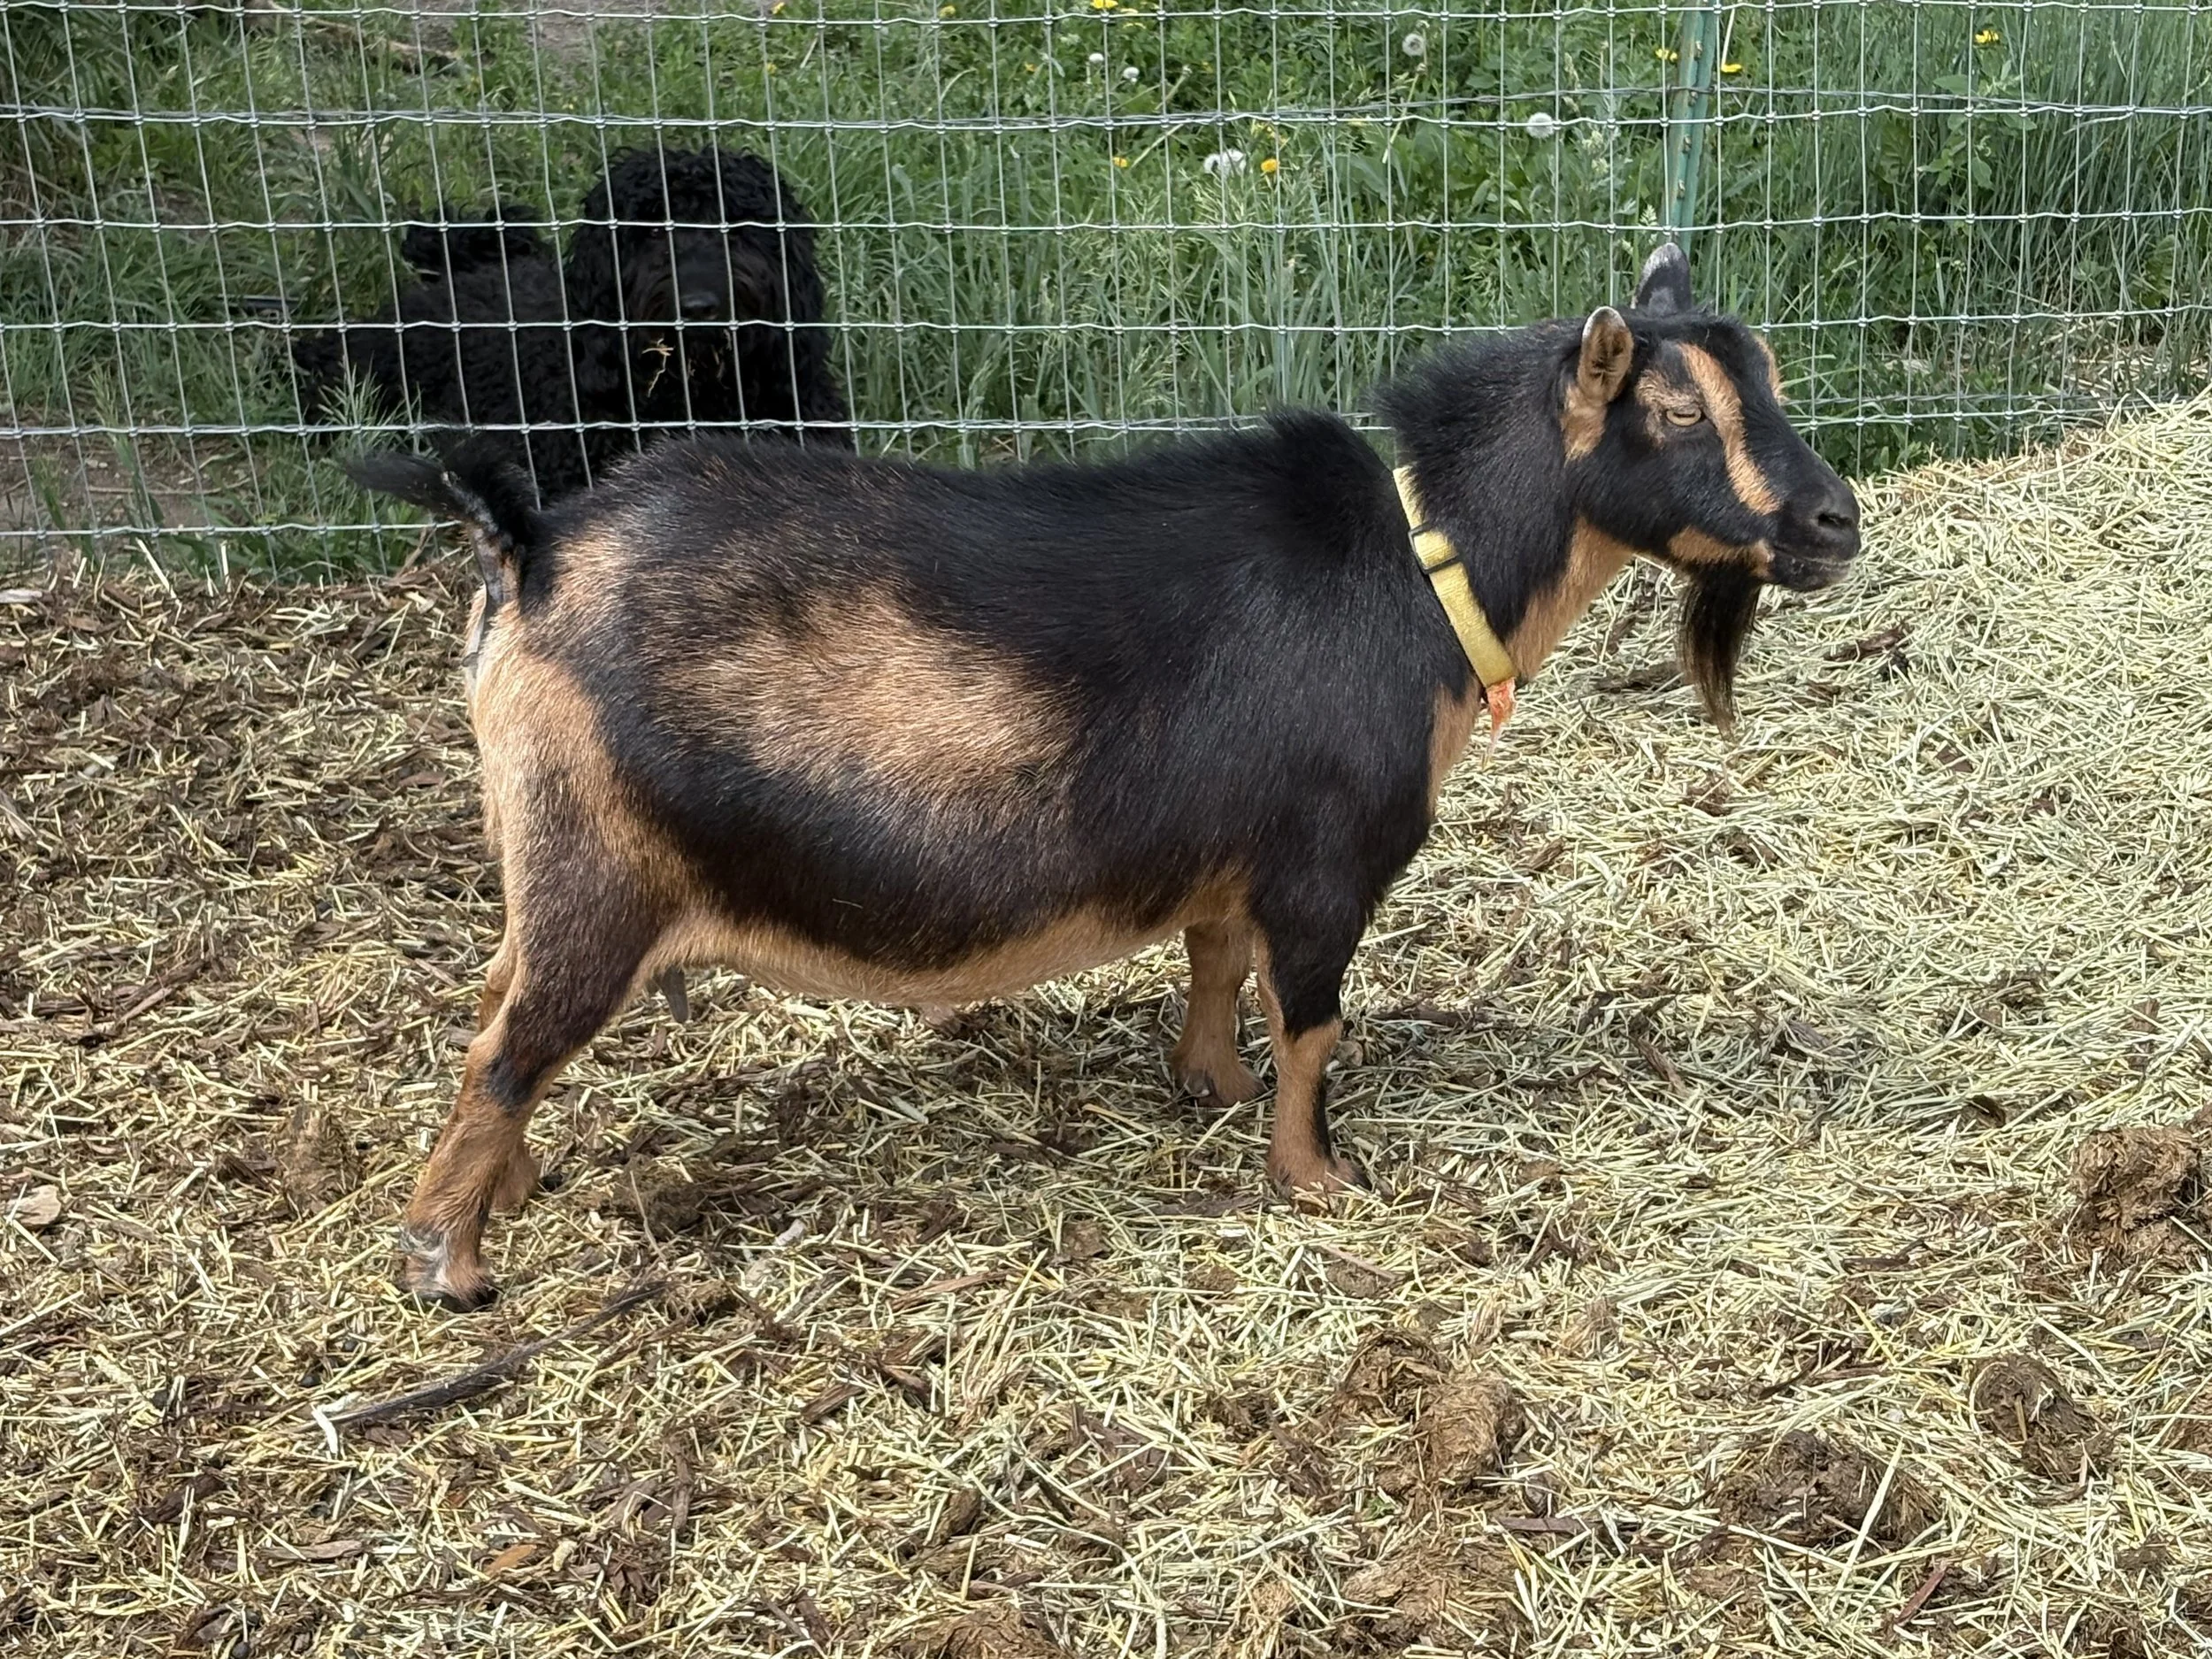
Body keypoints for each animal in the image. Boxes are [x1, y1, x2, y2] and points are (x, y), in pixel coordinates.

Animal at [345, 244, 1860, 1310]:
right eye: (1674, 409)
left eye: (1773, 382)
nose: (1836, 519)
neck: (1424, 572)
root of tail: (531, 549)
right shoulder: (1328, 858)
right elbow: (1313, 1018)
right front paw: (1317, 1176)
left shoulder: (1231, 854)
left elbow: (1212, 958)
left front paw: (1210, 1084)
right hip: (597, 872)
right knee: (507, 1043)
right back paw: (452, 1262)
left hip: (543, 855)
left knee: (497, 1009)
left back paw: (515, 1184)